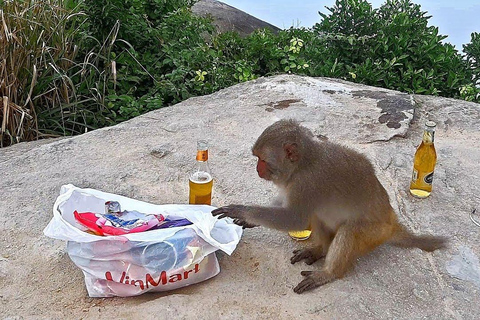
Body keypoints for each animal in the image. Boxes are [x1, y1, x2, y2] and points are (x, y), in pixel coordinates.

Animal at [213, 119, 446, 292]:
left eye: (262, 159)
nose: (257, 169)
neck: (303, 164)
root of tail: (392, 219)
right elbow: (287, 205)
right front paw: (249, 220)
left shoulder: (307, 183)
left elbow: (294, 218)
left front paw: (240, 210)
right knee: (318, 215)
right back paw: (321, 249)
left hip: (375, 232)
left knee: (349, 230)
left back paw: (328, 273)